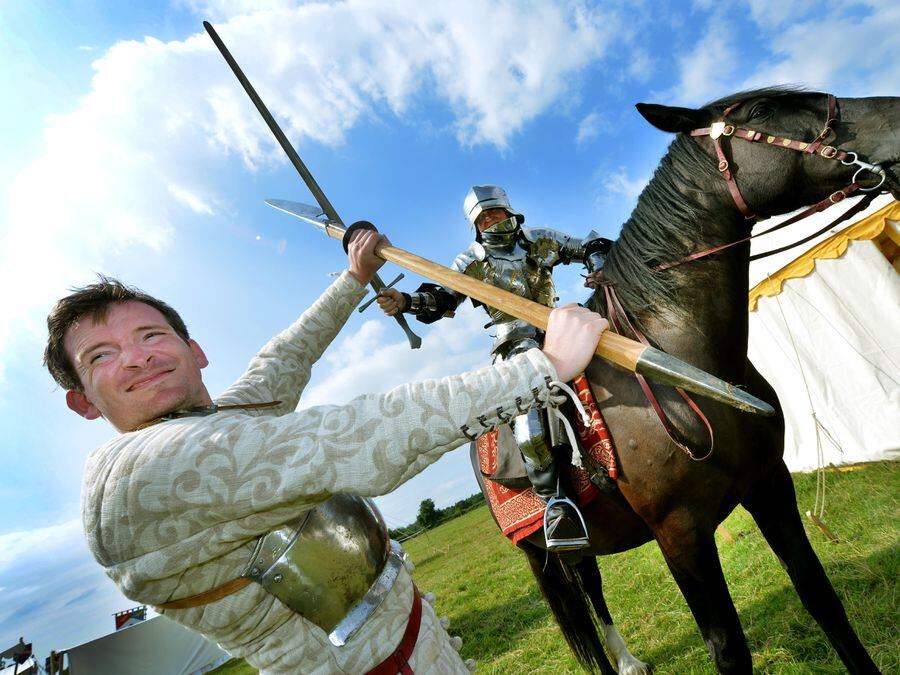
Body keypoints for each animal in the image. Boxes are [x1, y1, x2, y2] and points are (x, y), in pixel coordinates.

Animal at [474, 90, 896, 675]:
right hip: (541, 552)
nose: (898, 121)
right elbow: (727, 647)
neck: (684, 361)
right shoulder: (681, 535)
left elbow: (819, 595)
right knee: (582, 597)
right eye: (762, 112)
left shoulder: (771, 486)